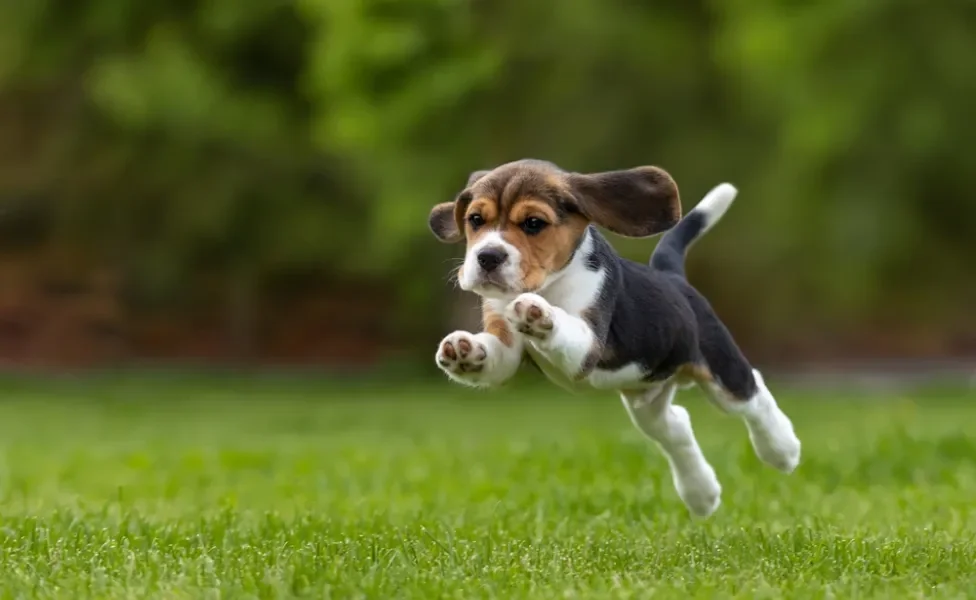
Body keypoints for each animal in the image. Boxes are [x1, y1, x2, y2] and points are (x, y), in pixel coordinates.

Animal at [428, 158, 800, 516]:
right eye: (476, 220)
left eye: (533, 223)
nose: (487, 257)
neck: (549, 283)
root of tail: (672, 277)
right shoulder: (503, 343)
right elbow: (496, 356)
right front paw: (463, 350)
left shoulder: (588, 343)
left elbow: (565, 329)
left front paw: (540, 315)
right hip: (647, 400)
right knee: (676, 428)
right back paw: (701, 495)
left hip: (720, 370)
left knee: (753, 393)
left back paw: (782, 449)